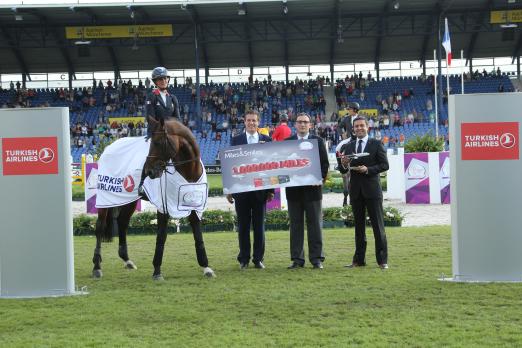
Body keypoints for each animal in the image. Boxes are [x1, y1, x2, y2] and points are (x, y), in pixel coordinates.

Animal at [92, 119, 214, 280]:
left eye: (158, 142)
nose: (148, 171)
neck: (189, 171)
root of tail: (109, 147)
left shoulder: (193, 205)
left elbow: (198, 236)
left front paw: (206, 267)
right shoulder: (164, 207)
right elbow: (161, 236)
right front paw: (157, 271)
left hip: (129, 200)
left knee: (122, 222)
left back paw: (127, 260)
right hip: (106, 198)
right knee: (99, 227)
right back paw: (96, 267)